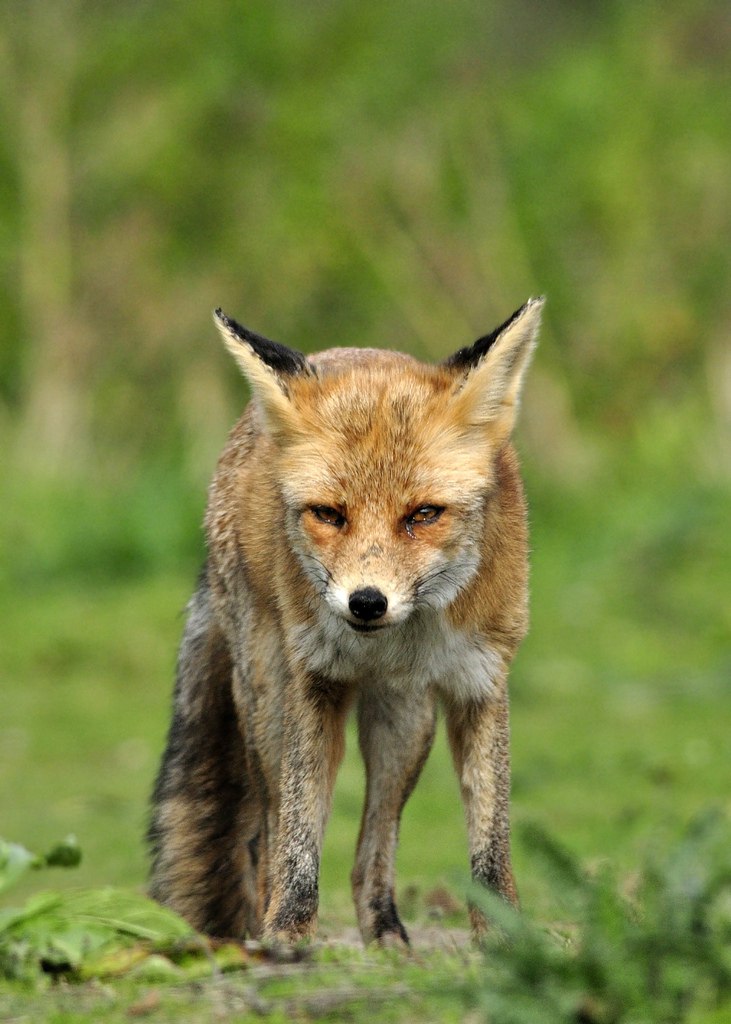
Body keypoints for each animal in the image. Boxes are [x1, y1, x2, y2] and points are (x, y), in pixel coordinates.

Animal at [148, 296, 544, 946]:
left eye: (423, 515)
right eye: (329, 514)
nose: (366, 602)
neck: (398, 640)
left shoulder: (481, 681)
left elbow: (491, 843)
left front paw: (504, 942)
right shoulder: (316, 681)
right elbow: (299, 839)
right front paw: (287, 937)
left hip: (405, 728)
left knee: (372, 849)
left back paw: (386, 935)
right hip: (269, 705)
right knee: (267, 830)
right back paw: (266, 928)